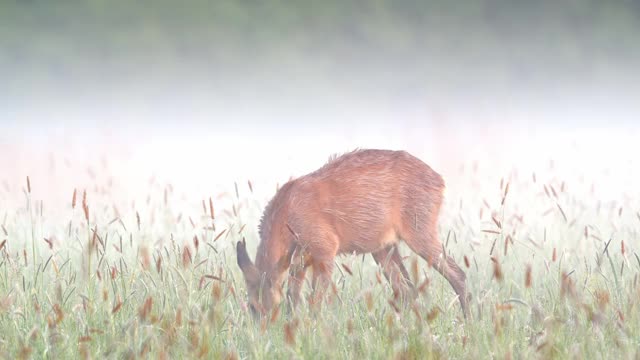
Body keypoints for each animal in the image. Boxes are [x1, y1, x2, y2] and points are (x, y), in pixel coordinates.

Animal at [236, 149, 470, 320]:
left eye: (270, 306)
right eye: (252, 306)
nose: (265, 329)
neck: (286, 216)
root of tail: (440, 181)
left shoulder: (325, 248)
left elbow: (315, 298)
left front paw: (312, 328)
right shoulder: (299, 259)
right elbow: (293, 296)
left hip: (419, 227)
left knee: (457, 273)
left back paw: (468, 321)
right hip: (384, 247)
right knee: (407, 289)